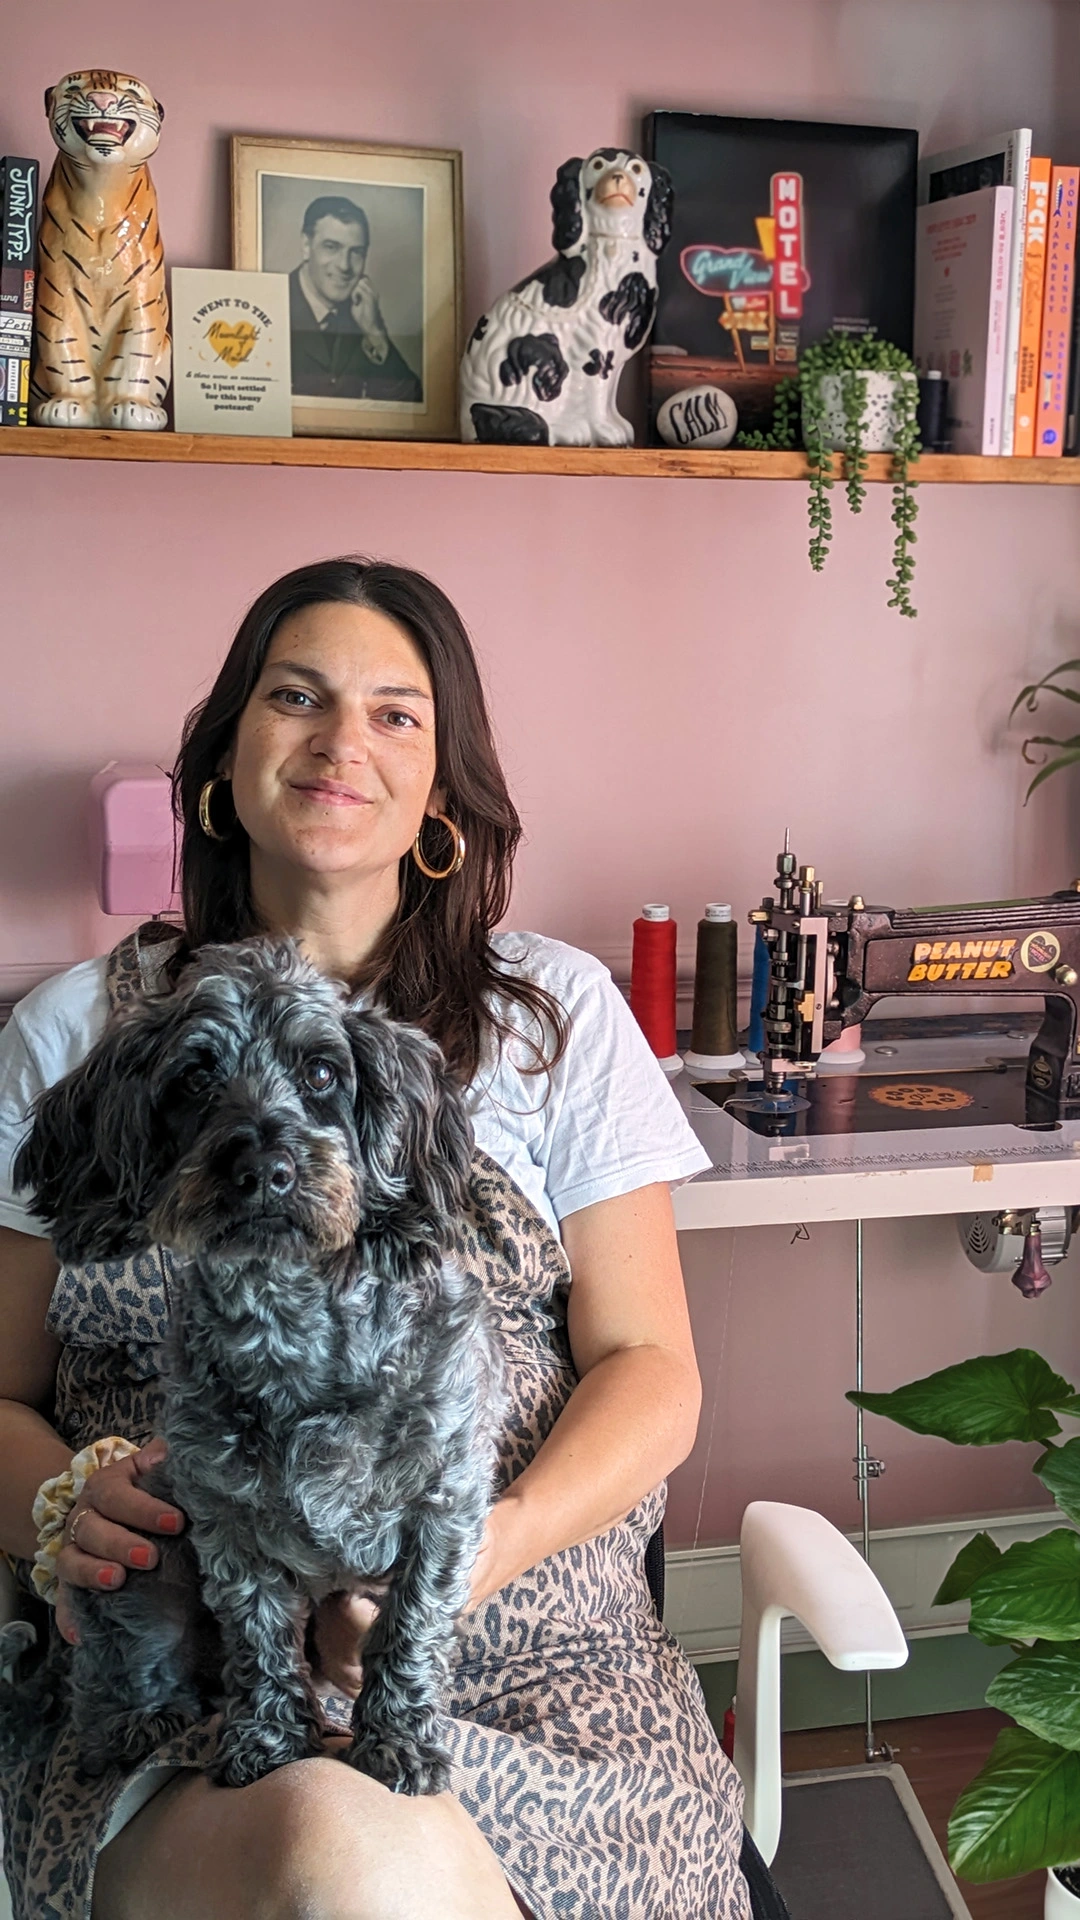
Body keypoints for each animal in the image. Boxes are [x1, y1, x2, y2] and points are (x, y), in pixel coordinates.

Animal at [0, 936, 503, 1789]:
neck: (290, 1323)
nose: (263, 1168)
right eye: (196, 1077)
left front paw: (398, 1736)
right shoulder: (227, 1526)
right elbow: (259, 1638)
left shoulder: (443, 1505)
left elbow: (409, 1627)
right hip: (147, 1568)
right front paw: (268, 1741)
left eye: (323, 1073)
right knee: (112, 1673)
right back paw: (136, 1727)